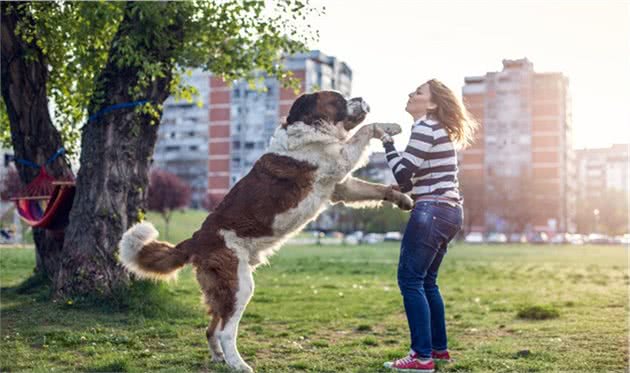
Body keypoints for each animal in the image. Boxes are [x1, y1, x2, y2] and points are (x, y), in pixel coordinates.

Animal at [118, 89, 414, 370]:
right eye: (339, 99)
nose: (360, 97)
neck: (311, 127)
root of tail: (197, 238)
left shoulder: (340, 186)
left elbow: (374, 188)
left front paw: (402, 198)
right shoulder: (339, 161)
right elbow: (366, 130)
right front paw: (390, 126)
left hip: (223, 290)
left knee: (211, 328)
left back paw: (220, 358)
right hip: (239, 285)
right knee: (225, 331)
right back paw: (239, 364)